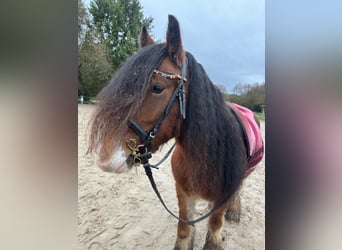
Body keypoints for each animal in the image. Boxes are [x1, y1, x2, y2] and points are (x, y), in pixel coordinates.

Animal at [87, 15, 262, 250]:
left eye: (157, 88)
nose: (106, 159)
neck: (206, 158)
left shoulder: (222, 199)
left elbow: (215, 226)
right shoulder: (184, 194)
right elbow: (184, 229)